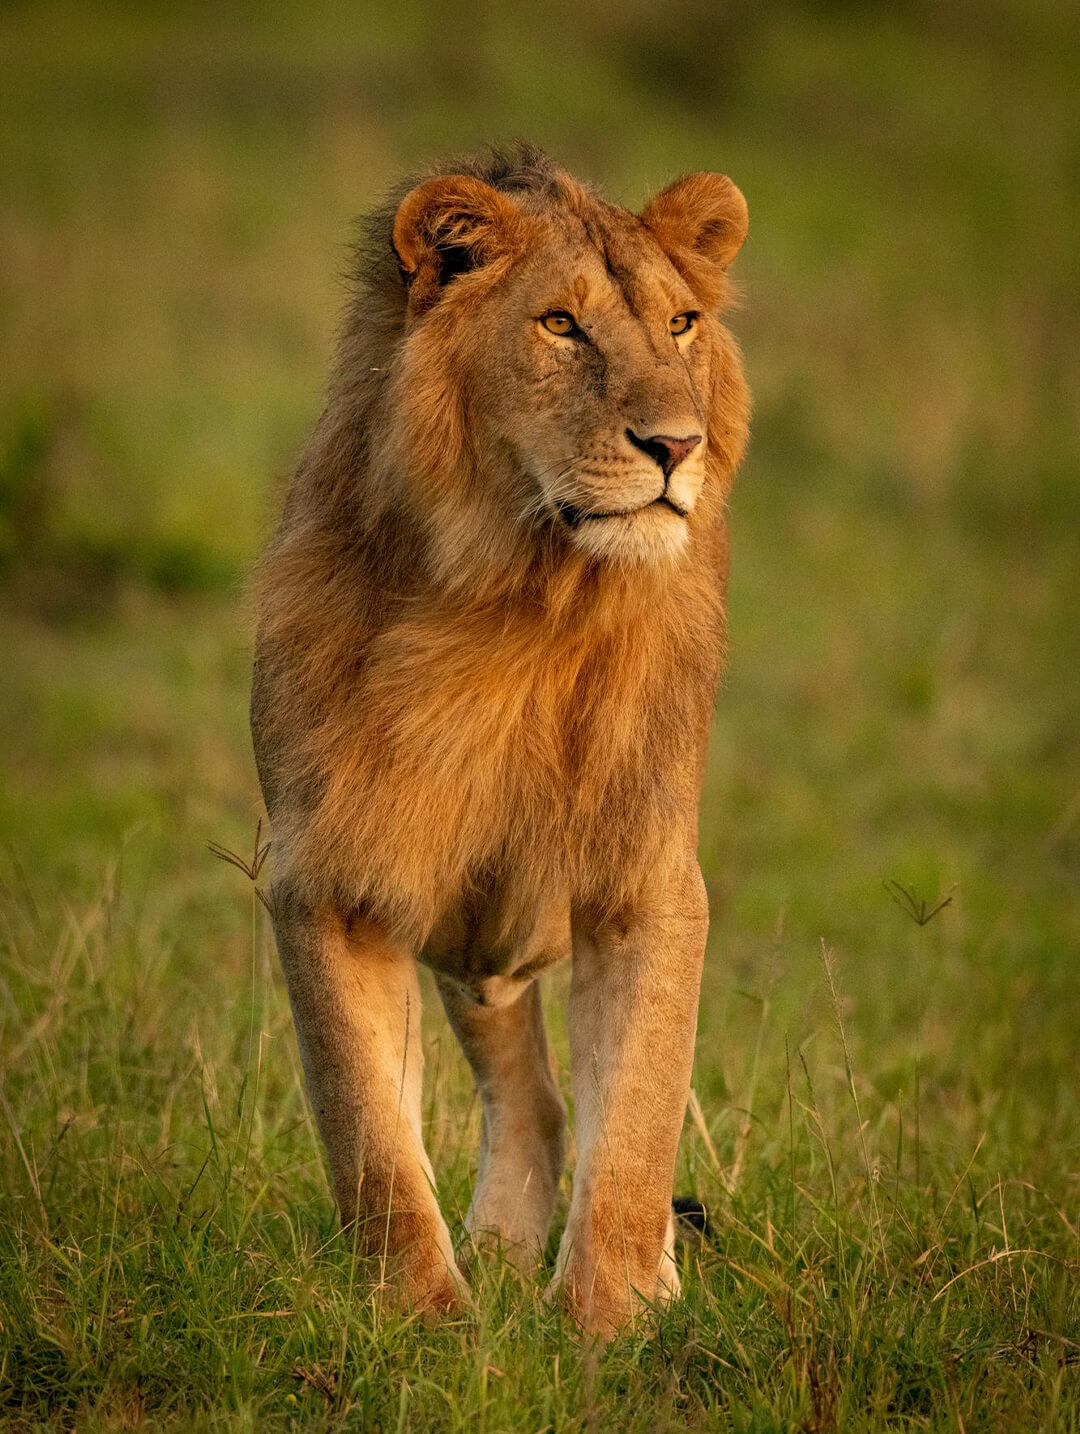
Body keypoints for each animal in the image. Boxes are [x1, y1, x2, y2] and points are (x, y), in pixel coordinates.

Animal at [250, 144, 750, 1335]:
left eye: (681, 325)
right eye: (560, 325)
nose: (677, 445)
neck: (519, 601)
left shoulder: (647, 876)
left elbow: (639, 1116)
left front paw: (613, 1320)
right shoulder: (325, 874)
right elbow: (369, 1134)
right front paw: (421, 1322)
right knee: (527, 1090)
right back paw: (498, 1247)